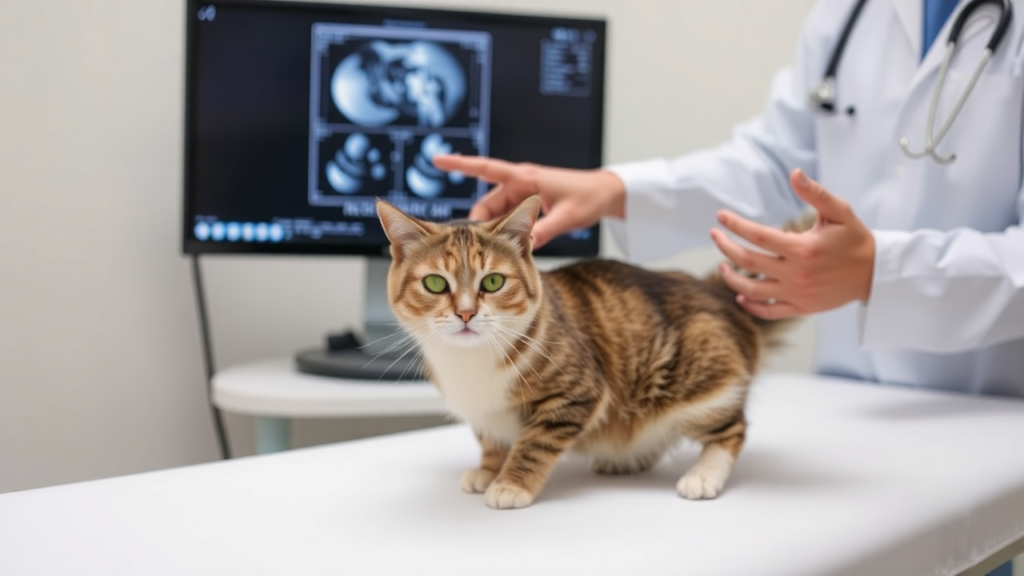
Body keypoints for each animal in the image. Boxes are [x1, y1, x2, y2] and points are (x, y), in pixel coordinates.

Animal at [376, 193, 790, 506]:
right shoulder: (484, 412)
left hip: (696, 386)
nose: (465, 313)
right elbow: (491, 438)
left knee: (732, 430)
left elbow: (535, 443)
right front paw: (489, 468)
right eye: (434, 283)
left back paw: (704, 475)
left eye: (492, 282)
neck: (469, 362)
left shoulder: (577, 393)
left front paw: (510, 483)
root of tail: (721, 296)